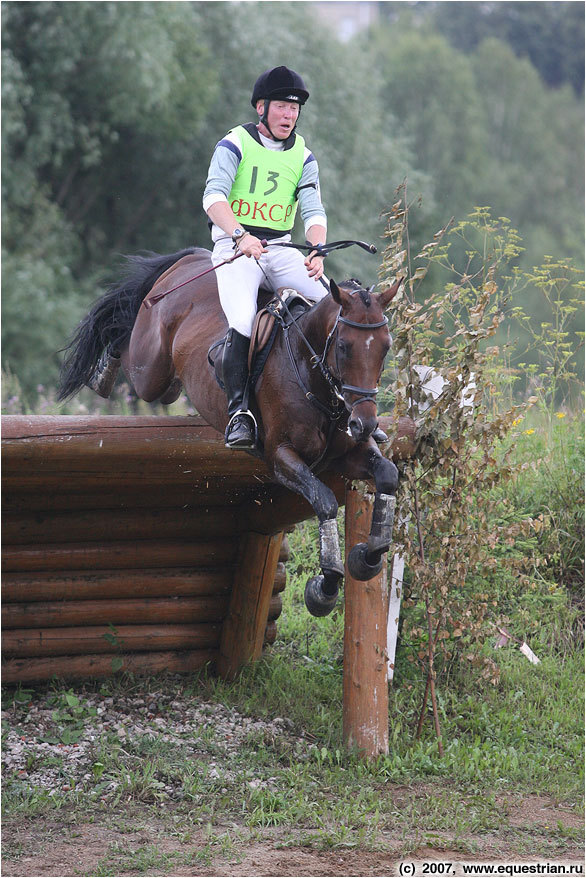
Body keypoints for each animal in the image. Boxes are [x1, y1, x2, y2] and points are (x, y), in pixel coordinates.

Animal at [59, 246, 400, 620]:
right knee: (128, 337)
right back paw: (105, 370)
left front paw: (368, 557)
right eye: (344, 347)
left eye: (385, 347)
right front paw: (325, 587)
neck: (312, 375)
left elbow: (387, 475)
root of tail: (192, 259)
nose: (365, 424)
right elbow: (324, 500)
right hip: (150, 369)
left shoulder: (348, 452)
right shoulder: (280, 456)